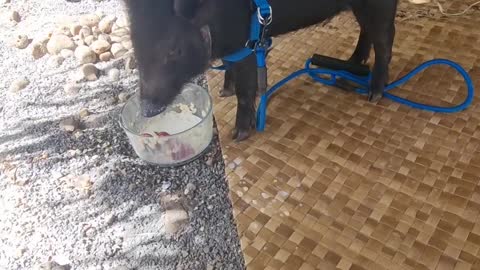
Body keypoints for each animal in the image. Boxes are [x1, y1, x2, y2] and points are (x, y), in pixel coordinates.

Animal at [124, 0, 398, 141]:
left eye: (174, 49)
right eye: (135, 44)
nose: (147, 108)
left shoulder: (247, 42)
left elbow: (246, 87)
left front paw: (239, 134)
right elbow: (231, 70)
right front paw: (224, 92)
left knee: (385, 38)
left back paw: (374, 94)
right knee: (368, 31)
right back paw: (354, 63)